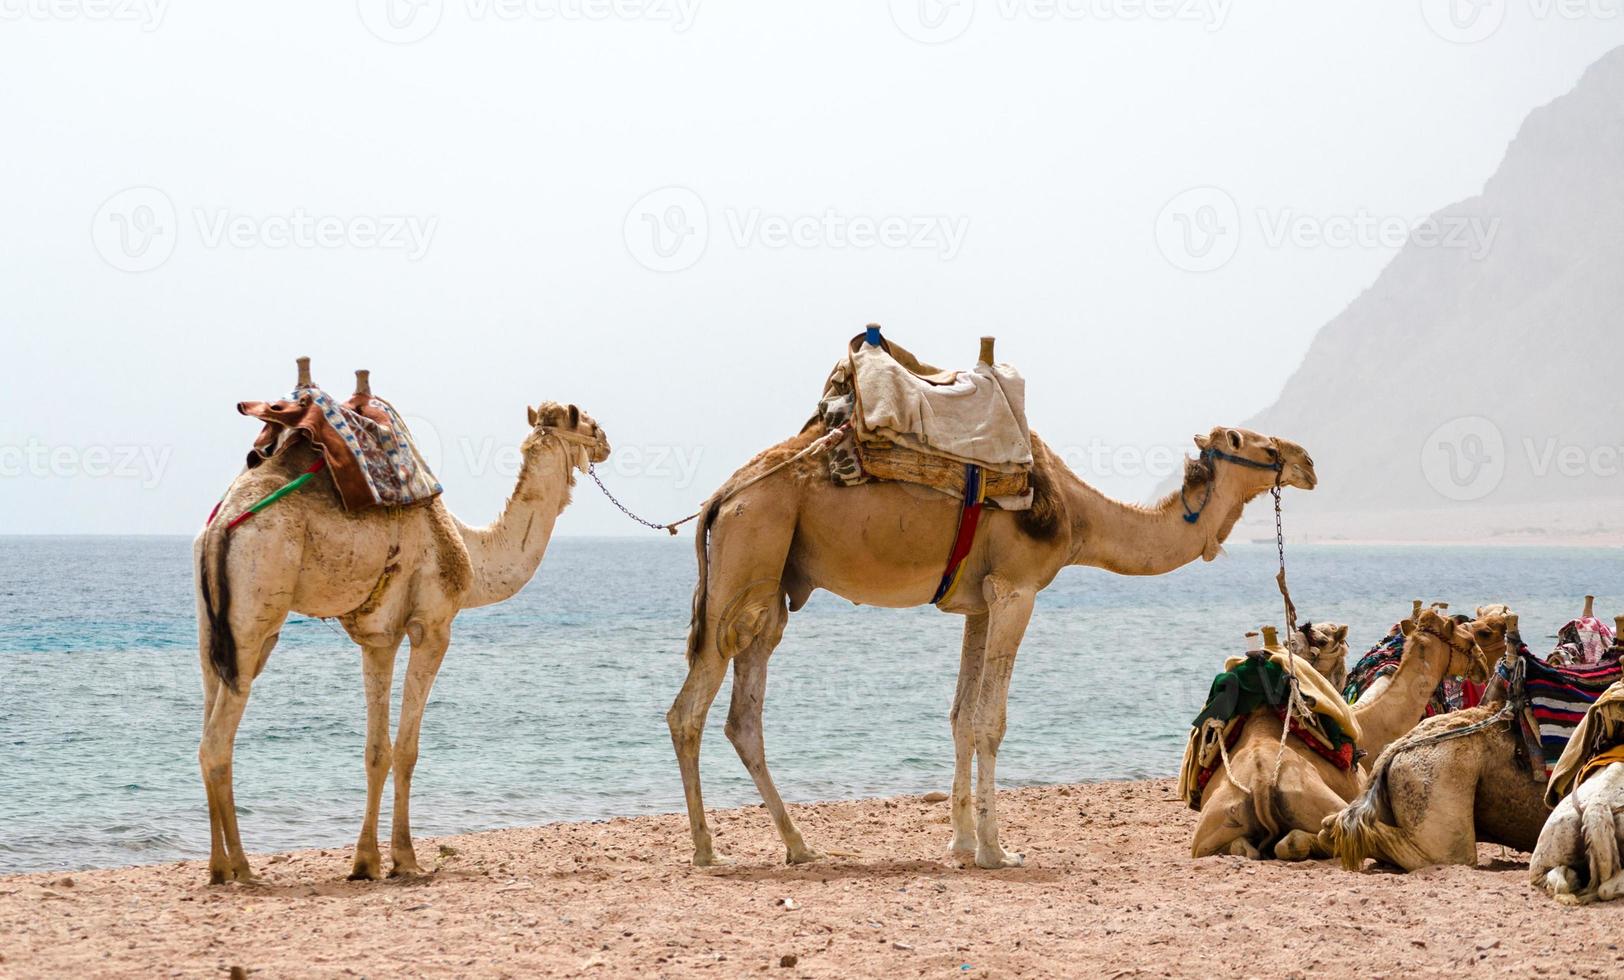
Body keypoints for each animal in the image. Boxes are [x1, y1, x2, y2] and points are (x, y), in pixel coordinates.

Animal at [191, 385, 610, 890]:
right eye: (586, 421)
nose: (606, 441)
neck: (471, 551)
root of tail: (219, 529)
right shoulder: (432, 626)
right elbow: (407, 749)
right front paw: (405, 858)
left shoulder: (379, 637)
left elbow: (376, 751)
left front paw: (366, 862)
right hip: (255, 614)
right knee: (217, 743)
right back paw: (242, 867)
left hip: (212, 630)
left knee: (211, 728)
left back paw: (219, 866)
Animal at [665, 425, 1312, 871]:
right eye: (1255, 442)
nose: (1306, 462)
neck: (1077, 516)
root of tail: (719, 497)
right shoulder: (1015, 590)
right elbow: (989, 721)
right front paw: (997, 852)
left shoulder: (977, 603)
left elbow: (959, 715)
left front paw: (960, 840)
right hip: (746, 560)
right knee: (687, 711)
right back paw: (707, 850)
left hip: (771, 585)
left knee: (743, 718)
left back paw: (799, 847)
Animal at [1188, 611, 1487, 864]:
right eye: (1469, 639)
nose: (1483, 664)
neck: (1371, 724)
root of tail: (1261, 784)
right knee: (1303, 840)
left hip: (1209, 833)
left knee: (1244, 848)